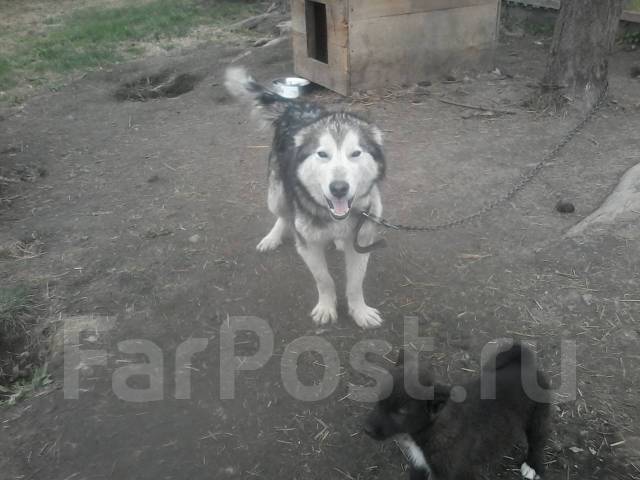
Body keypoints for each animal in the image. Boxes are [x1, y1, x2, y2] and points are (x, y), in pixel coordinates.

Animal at [225, 67, 384, 328]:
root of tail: (295, 106)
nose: (338, 188)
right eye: (322, 154)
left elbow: (355, 283)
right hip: (276, 195)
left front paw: (360, 312)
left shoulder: (362, 241)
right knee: (283, 215)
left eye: (355, 153)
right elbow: (324, 279)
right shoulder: (308, 246)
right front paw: (326, 307)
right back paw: (272, 238)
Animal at [364, 344, 552, 478]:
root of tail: (522, 364)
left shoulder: (451, 472)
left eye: (401, 412)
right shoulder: (419, 464)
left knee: (538, 441)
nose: (366, 429)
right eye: (379, 399)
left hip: (538, 417)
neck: (432, 428)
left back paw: (533, 466)